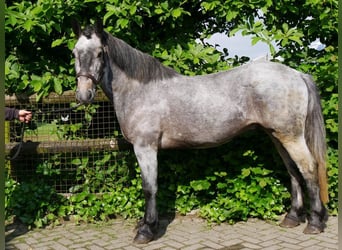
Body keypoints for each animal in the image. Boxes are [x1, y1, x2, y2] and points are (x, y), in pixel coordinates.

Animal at [71, 21, 328, 244]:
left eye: (99, 54)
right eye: (74, 53)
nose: (84, 95)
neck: (140, 90)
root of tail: (297, 75)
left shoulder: (145, 147)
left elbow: (149, 188)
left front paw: (146, 230)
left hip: (290, 136)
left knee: (308, 168)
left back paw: (315, 223)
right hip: (276, 135)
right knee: (293, 171)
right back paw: (292, 218)